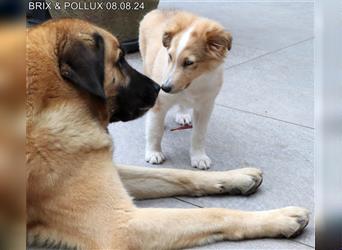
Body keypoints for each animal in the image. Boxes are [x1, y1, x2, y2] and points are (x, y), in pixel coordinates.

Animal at [27, 18, 310, 249]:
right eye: (120, 60)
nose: (158, 87)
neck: (58, 99)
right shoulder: (122, 225)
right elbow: (213, 213)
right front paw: (279, 217)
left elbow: (177, 174)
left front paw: (235, 177)